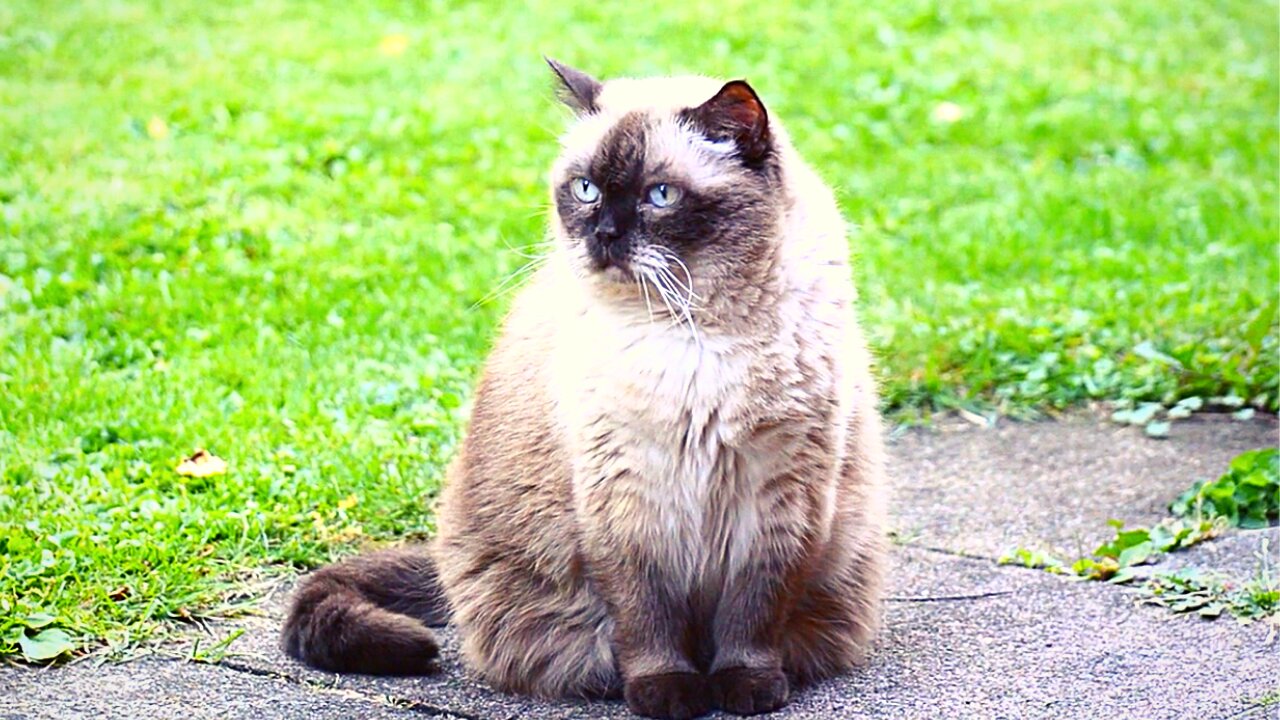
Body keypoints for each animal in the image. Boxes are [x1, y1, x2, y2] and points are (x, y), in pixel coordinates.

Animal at [286, 57, 890, 717]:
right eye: (585, 189)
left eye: (660, 196)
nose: (603, 233)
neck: (690, 332)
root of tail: (442, 564)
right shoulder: (624, 497)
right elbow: (646, 618)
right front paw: (666, 694)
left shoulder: (779, 493)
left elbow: (752, 615)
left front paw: (747, 690)